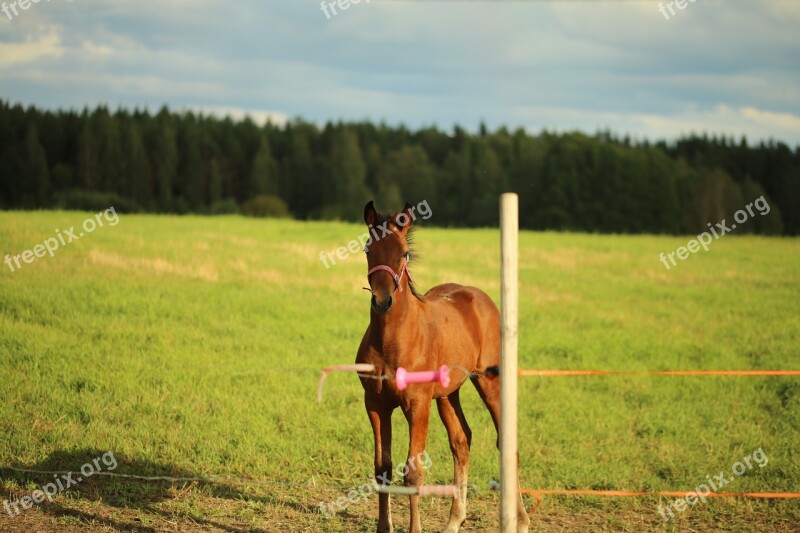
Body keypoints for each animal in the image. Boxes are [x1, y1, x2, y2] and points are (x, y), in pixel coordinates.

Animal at [358, 202, 532, 528]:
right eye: (367, 249)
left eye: (404, 253)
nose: (383, 301)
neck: (392, 341)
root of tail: (480, 297)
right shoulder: (375, 403)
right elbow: (382, 469)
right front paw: (384, 527)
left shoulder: (417, 404)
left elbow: (413, 473)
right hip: (448, 394)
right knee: (461, 440)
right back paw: (454, 521)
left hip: (489, 381)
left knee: (506, 444)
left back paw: (521, 521)